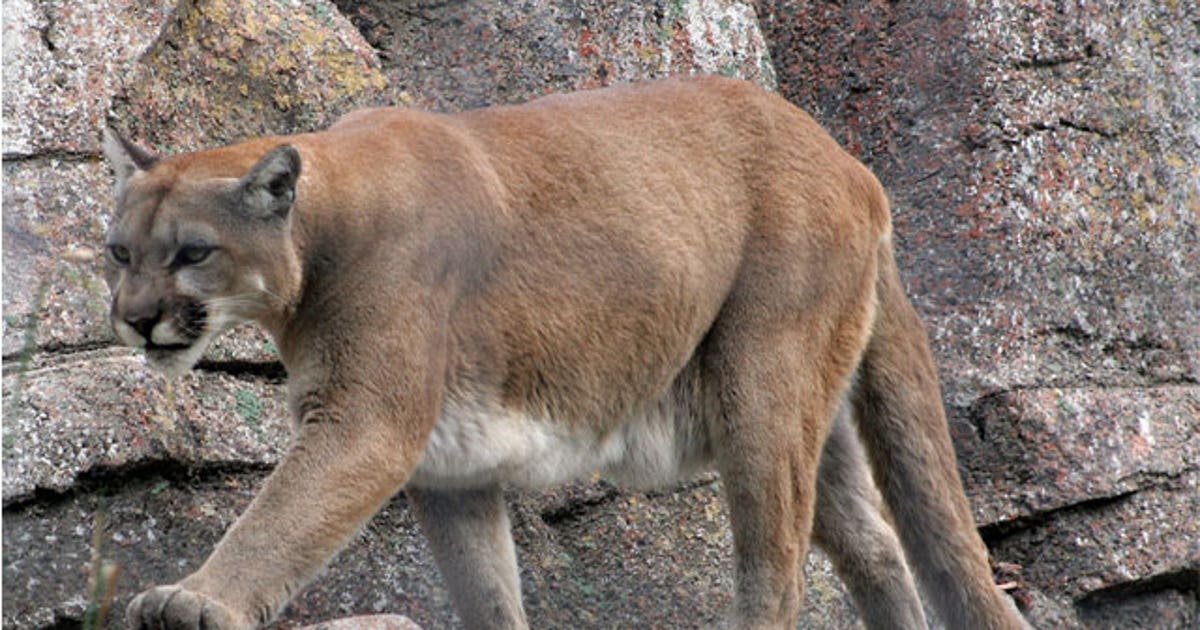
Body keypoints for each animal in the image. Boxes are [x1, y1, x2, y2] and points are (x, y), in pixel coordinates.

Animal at [102, 75, 1027, 629]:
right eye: (119, 251)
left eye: (192, 252)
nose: (135, 319)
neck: (320, 231)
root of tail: (850, 161)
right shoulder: (449, 465)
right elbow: (484, 585)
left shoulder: (367, 421)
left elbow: (281, 516)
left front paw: (195, 601)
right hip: (811, 406)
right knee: (876, 544)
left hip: (761, 386)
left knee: (777, 560)